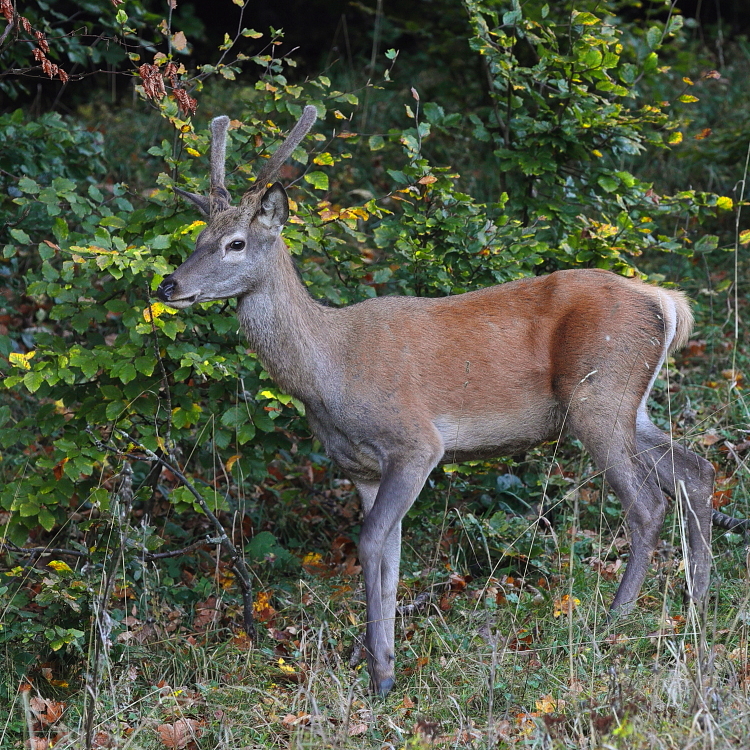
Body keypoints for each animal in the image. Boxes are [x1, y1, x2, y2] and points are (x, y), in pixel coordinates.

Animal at [157, 104, 724, 700]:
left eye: (236, 243)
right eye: (199, 236)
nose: (169, 284)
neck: (328, 370)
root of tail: (666, 301)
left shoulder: (416, 443)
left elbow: (370, 543)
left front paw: (381, 674)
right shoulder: (361, 467)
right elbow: (390, 555)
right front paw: (382, 659)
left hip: (597, 396)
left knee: (647, 503)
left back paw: (614, 621)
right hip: (630, 404)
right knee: (696, 471)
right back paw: (697, 605)